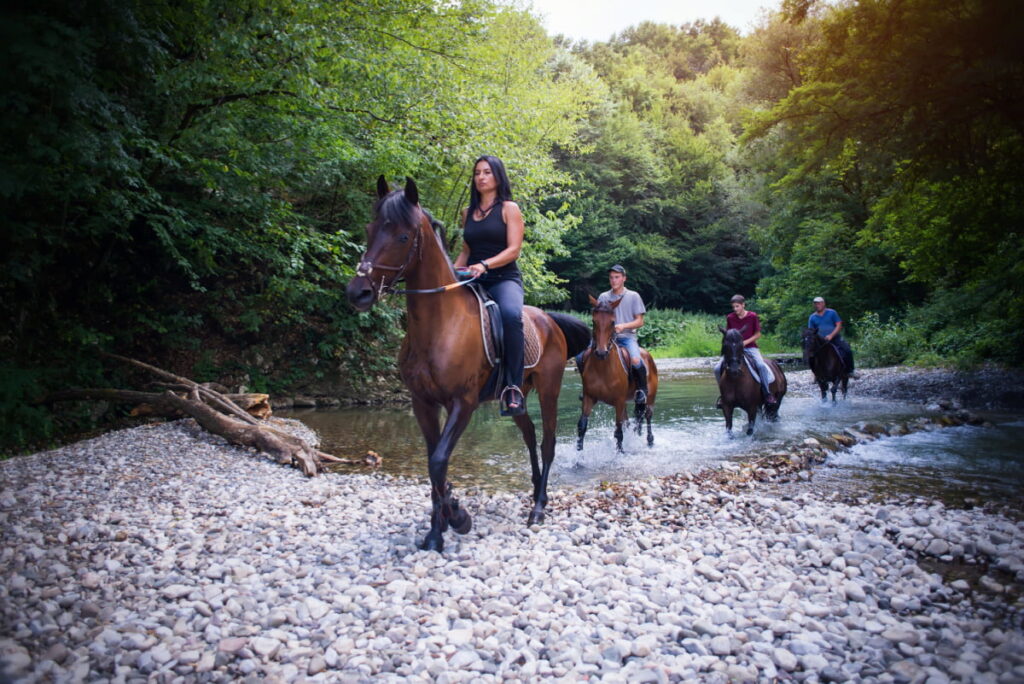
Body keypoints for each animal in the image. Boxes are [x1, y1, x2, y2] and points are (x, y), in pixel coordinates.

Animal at [344, 176, 589, 548]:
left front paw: (458, 518)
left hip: (549, 390)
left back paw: (538, 509)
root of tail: (549, 320)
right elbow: (434, 464)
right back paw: (535, 493)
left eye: (403, 236)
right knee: (530, 435)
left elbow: (438, 461)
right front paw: (437, 529)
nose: (358, 292)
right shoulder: (423, 402)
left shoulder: (464, 402)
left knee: (547, 442)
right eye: (370, 229)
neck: (440, 324)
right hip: (515, 398)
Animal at [573, 294, 659, 450]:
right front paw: (579, 453)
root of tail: (647, 355)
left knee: (647, 415)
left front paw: (620, 452)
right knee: (632, 420)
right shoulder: (589, 398)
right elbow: (582, 426)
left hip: (649, 398)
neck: (603, 368)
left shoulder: (618, 401)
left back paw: (650, 441)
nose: (601, 352)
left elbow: (618, 431)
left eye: (612, 322)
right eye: (594, 321)